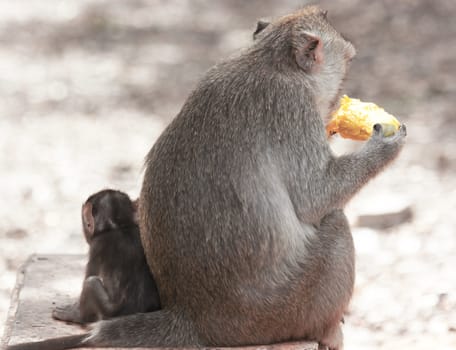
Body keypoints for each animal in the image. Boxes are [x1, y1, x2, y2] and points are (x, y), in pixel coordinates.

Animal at [52, 190, 160, 324]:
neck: (118, 226)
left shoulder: (96, 246)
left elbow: (90, 275)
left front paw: (72, 310)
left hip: (107, 312)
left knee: (91, 283)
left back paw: (77, 316)